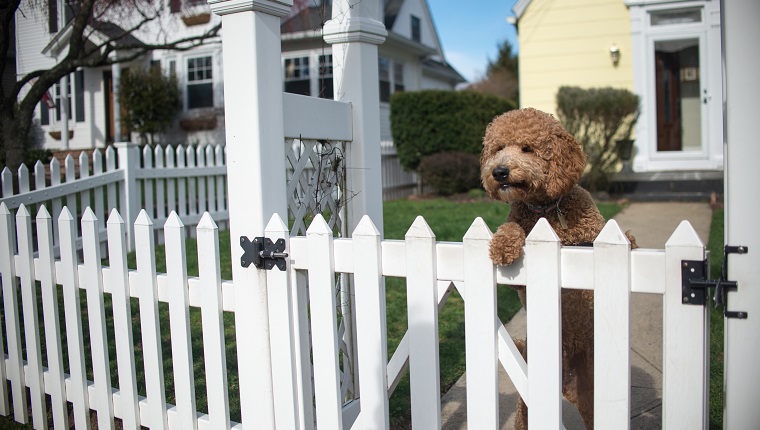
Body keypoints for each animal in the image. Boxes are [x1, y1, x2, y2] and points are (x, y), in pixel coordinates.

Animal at [480, 107, 636, 430]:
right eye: (498, 148)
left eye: (527, 148)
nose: (498, 172)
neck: (548, 209)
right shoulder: (520, 281)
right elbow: (511, 227)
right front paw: (502, 244)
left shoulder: (593, 233)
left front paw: (629, 239)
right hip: (529, 401)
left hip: (591, 392)